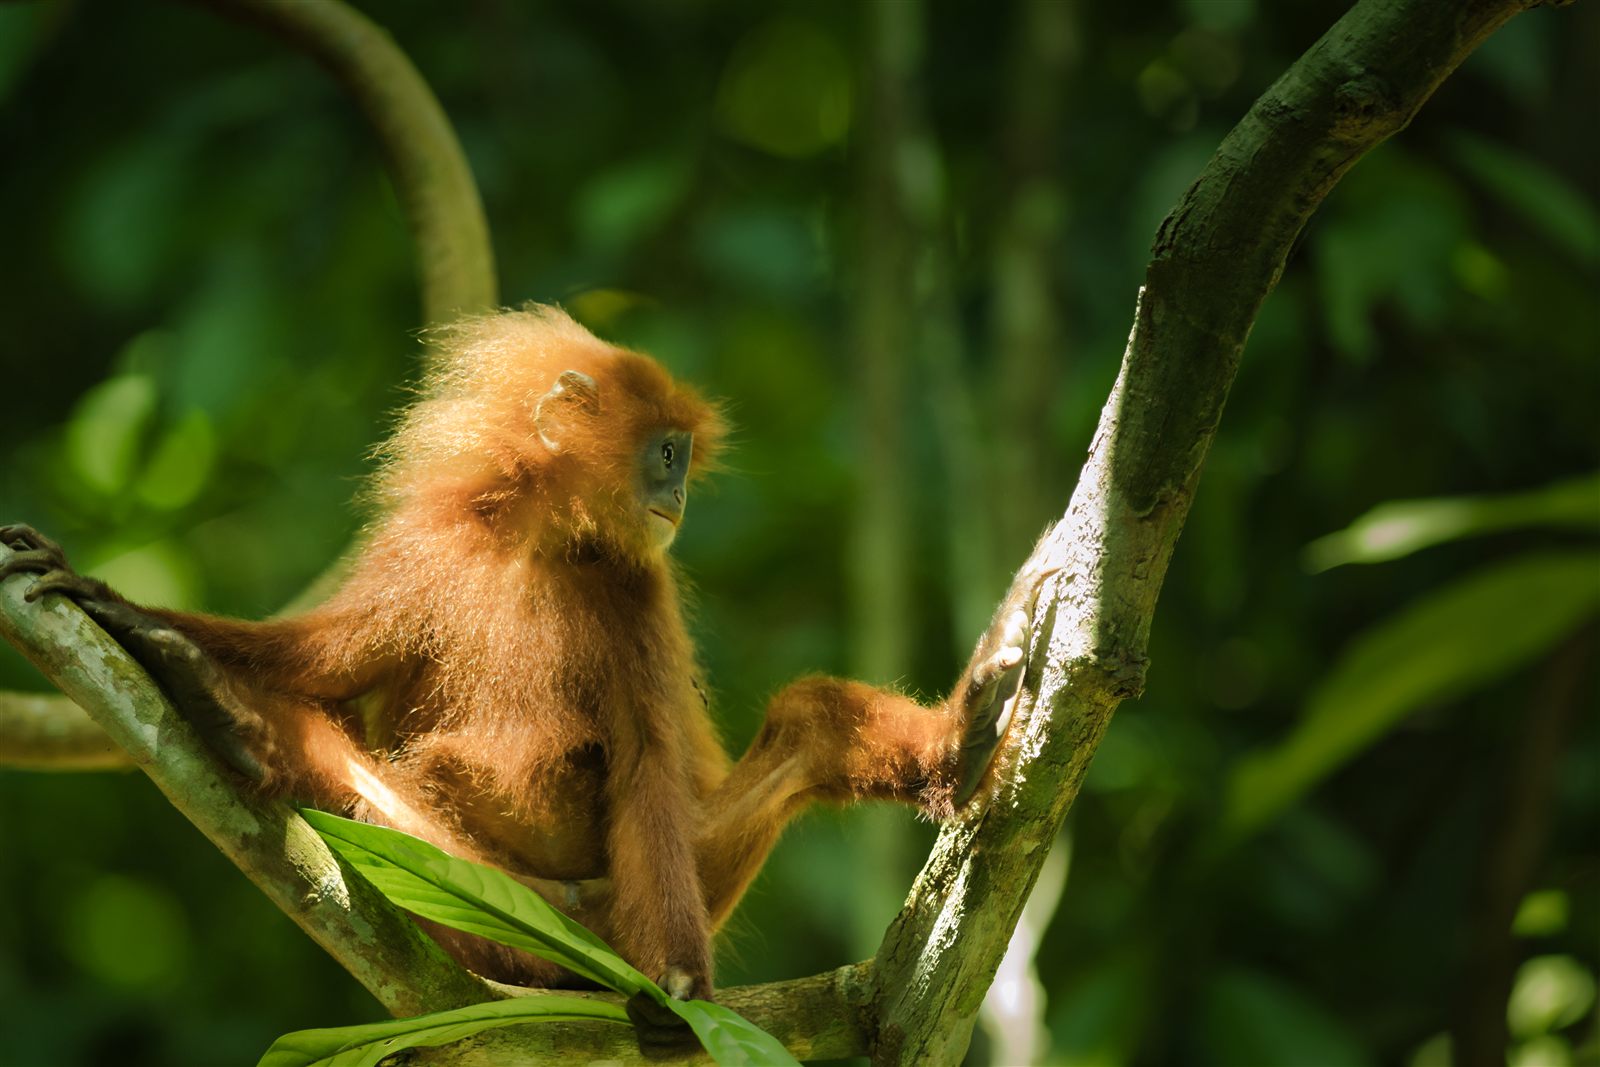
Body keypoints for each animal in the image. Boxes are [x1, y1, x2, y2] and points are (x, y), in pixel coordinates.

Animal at [0, 306, 1036, 1023]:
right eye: (666, 452)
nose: (680, 494)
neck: (536, 539)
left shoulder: (636, 589)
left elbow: (650, 754)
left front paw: (681, 986)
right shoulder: (427, 548)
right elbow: (317, 662)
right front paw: (129, 616)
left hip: (648, 892)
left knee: (810, 720)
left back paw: (957, 749)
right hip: (500, 912)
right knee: (337, 766)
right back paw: (224, 711)